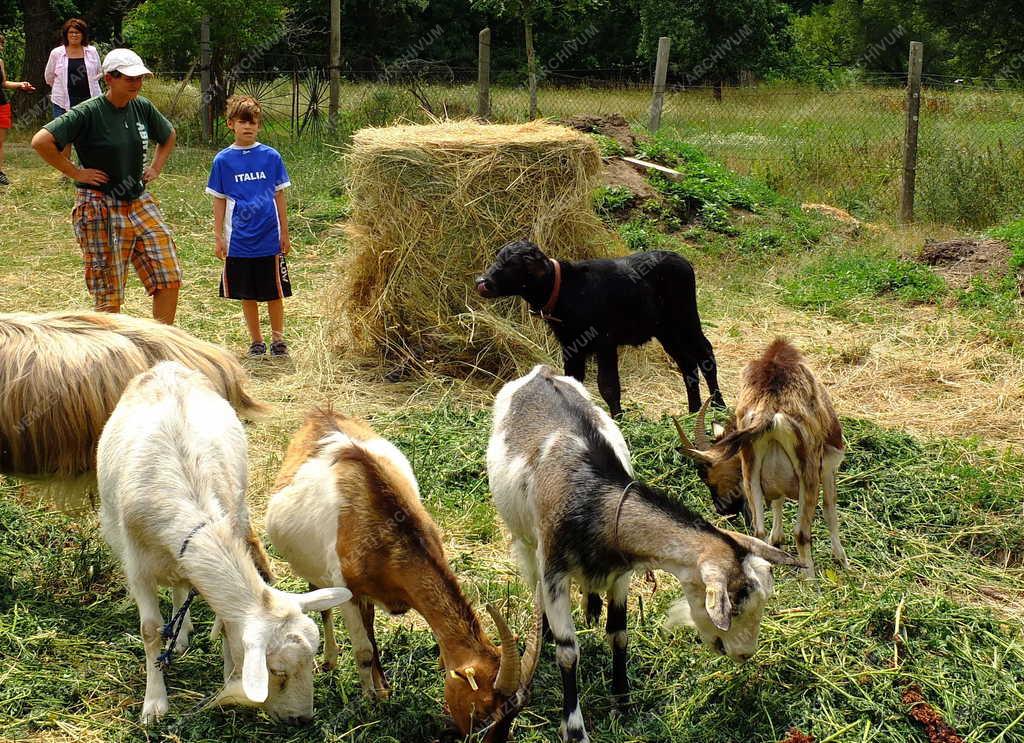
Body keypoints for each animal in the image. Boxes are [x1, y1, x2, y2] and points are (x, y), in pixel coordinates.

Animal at [96, 364, 352, 724]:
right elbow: (149, 630)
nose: (302, 719)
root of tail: (167, 367)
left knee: (180, 586)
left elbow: (224, 625)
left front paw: (229, 675)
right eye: (277, 671)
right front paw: (155, 703)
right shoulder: (138, 569)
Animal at [264, 409, 544, 740]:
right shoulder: (346, 590)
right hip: (315, 568)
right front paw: (370, 703)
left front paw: (382, 692)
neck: (382, 525)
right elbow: (363, 651)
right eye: (484, 710)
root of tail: (323, 413)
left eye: (514, 714)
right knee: (323, 606)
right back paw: (331, 661)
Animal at [475, 242, 724, 419]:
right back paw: (692, 412)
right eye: (498, 257)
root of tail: (679, 259)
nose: (482, 281)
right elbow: (572, 380)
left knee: (705, 355)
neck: (568, 289)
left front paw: (619, 420)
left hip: (686, 318)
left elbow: (608, 385)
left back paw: (719, 406)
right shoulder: (571, 345)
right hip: (667, 331)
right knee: (686, 362)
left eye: (511, 264)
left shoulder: (605, 342)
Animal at [487, 366, 798, 743]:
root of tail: (540, 372)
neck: (593, 499)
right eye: (734, 605)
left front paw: (622, 700)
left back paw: (591, 605)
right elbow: (568, 653)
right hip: (525, 541)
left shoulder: (621, 573)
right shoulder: (554, 574)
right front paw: (574, 729)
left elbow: (618, 633)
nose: (744, 653)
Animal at [679, 339, 847, 577]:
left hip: (751, 476)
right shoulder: (829, 467)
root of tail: (771, 408)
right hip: (809, 475)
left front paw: (777, 540)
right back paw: (812, 581)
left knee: (758, 533)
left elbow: (777, 503)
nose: (723, 510)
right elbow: (830, 509)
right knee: (802, 533)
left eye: (705, 475)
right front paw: (842, 560)